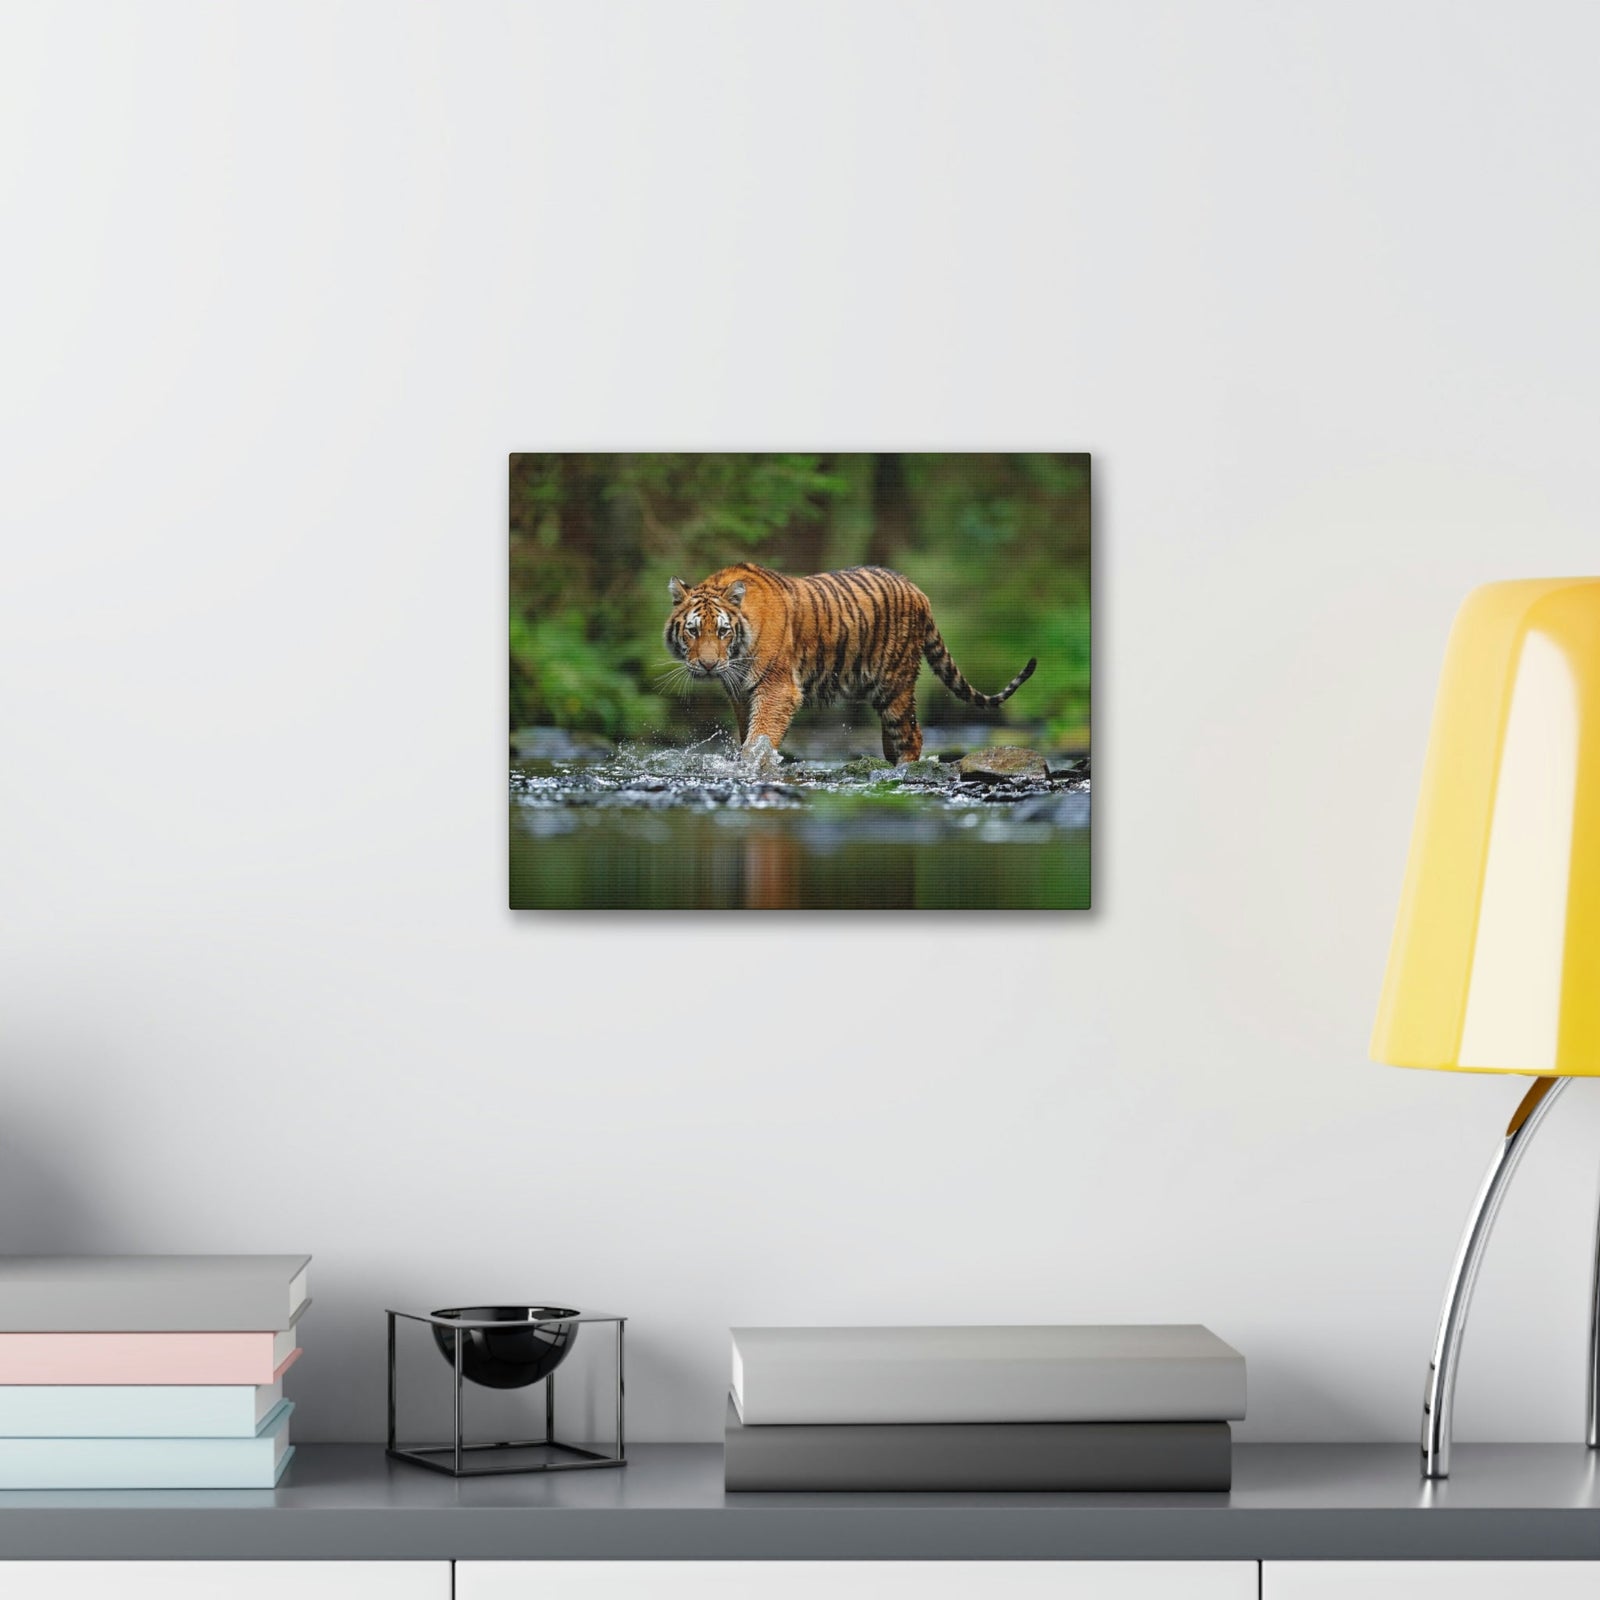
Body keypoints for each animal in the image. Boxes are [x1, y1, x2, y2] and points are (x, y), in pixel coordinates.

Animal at [663, 562, 1036, 764]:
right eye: (693, 631)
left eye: (723, 631)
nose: (708, 666)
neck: (738, 655)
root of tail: (918, 590)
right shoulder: (741, 693)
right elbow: (748, 734)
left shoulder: (777, 688)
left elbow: (760, 737)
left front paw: (753, 766)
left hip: (895, 684)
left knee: (912, 734)